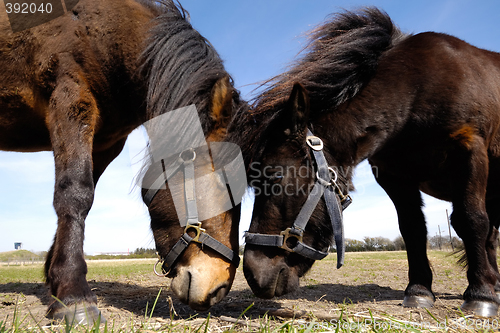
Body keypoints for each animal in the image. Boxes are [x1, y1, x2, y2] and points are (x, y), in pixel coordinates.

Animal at [0, 0, 247, 322]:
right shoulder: (69, 100)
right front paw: (74, 294)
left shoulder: (106, 143)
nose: (218, 288)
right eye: (223, 185)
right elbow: (75, 193)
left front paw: (56, 283)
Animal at [229, 7, 500, 316]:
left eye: (273, 175)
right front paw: (419, 290)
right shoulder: (394, 176)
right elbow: (412, 229)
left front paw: (480, 294)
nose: (252, 273)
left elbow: (470, 220)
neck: (417, 92)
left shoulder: (469, 152)